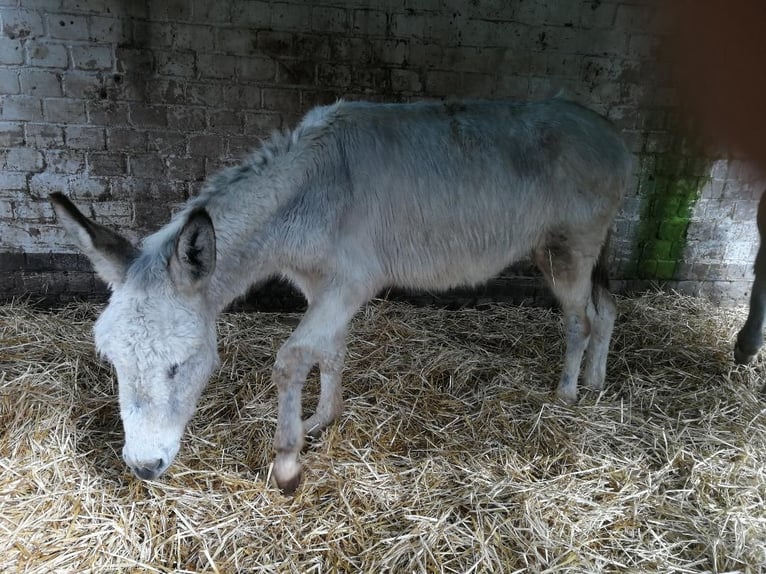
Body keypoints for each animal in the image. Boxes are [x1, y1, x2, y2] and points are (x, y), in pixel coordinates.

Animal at [50, 98, 631, 493]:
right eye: (112, 363)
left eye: (181, 365)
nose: (144, 467)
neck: (311, 190)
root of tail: (607, 127)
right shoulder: (323, 287)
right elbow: (328, 352)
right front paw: (323, 420)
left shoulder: (350, 283)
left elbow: (291, 359)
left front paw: (288, 462)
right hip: (567, 252)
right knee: (606, 310)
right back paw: (596, 384)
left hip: (568, 250)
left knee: (580, 319)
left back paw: (567, 394)